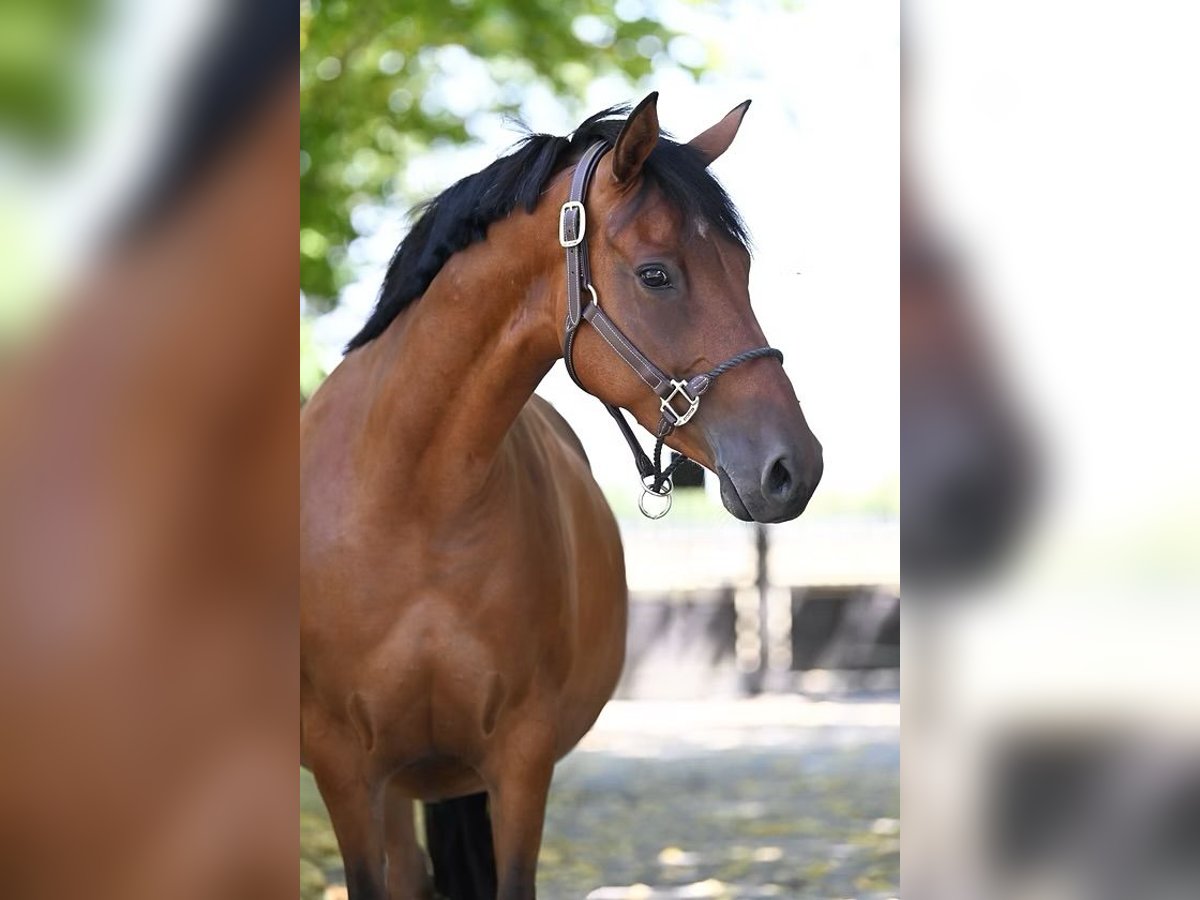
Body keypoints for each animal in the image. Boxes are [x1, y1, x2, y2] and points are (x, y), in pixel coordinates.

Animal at [300, 93, 825, 900]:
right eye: (655, 275)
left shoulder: (520, 762)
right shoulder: (346, 772)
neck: (412, 505)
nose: (793, 466)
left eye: (741, 267)